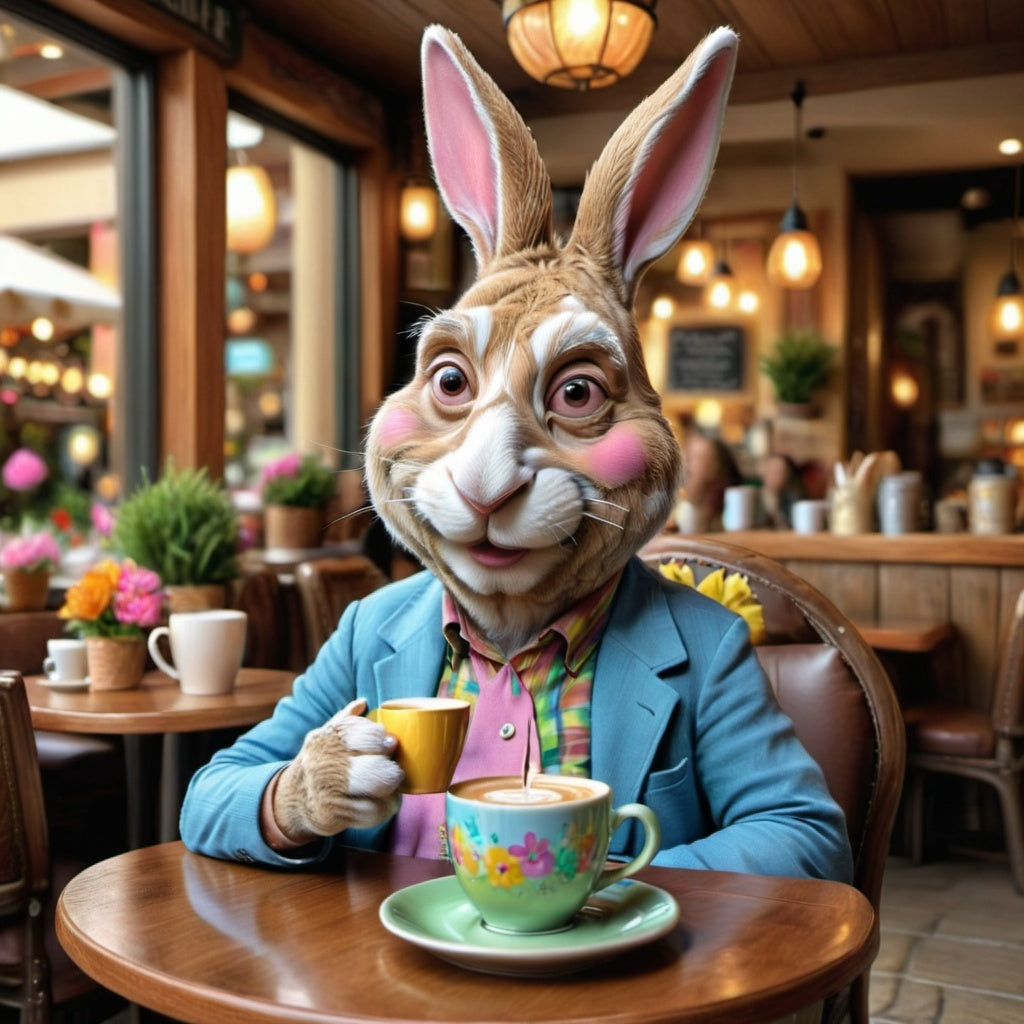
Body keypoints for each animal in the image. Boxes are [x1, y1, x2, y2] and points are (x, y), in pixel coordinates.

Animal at [180, 28, 851, 884]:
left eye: (578, 393)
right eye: (450, 380)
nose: (485, 488)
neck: (507, 631)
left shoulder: (789, 804)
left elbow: (789, 820)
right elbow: (225, 770)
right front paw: (332, 773)